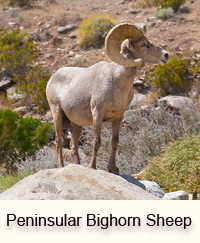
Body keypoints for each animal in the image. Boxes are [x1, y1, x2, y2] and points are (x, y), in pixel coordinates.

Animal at [45, 22, 169, 174]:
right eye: (144, 44)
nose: (166, 55)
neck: (117, 82)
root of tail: (52, 78)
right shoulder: (97, 114)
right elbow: (97, 142)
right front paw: (92, 166)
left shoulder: (118, 118)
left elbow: (114, 142)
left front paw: (113, 169)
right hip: (57, 114)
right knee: (58, 144)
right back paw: (62, 167)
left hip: (77, 124)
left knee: (74, 145)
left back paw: (78, 166)